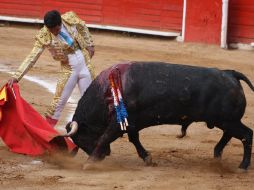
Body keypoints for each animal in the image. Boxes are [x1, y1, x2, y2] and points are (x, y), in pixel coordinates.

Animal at [66, 62, 254, 169]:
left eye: (81, 139)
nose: (104, 155)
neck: (106, 92)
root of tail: (230, 74)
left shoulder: (118, 124)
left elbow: (105, 137)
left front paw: (88, 162)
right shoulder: (131, 123)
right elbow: (134, 139)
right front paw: (147, 158)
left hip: (228, 120)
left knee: (247, 134)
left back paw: (243, 166)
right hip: (225, 121)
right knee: (230, 135)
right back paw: (217, 155)